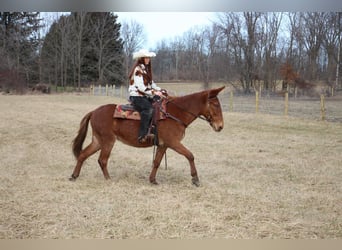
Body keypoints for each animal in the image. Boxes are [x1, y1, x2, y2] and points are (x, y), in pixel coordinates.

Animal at [70, 86, 226, 186]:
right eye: (216, 105)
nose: (220, 126)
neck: (175, 113)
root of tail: (94, 112)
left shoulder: (164, 145)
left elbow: (156, 162)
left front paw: (153, 180)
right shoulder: (174, 143)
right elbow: (190, 155)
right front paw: (195, 179)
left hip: (98, 140)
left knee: (83, 155)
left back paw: (74, 176)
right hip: (108, 141)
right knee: (102, 160)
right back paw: (108, 179)